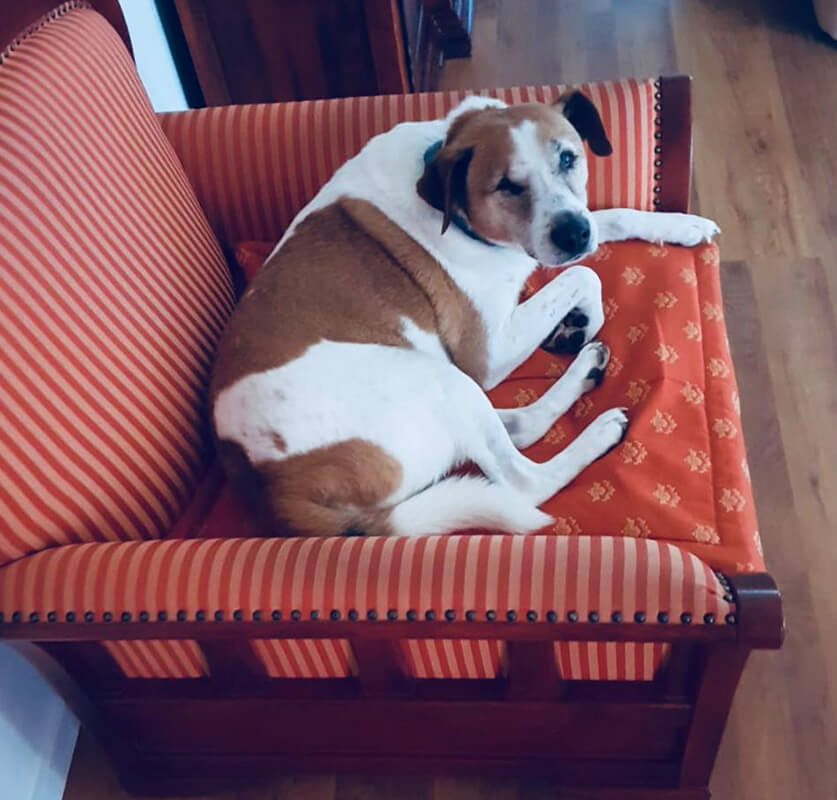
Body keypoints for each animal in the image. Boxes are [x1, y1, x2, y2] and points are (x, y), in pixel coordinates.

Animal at [211, 92, 719, 538]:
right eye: (507, 186)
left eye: (568, 158)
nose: (573, 234)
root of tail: (275, 492)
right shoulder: (488, 353)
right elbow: (583, 275)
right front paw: (583, 317)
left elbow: (608, 220)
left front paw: (681, 225)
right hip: (438, 379)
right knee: (522, 480)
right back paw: (600, 433)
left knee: (518, 428)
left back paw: (584, 371)